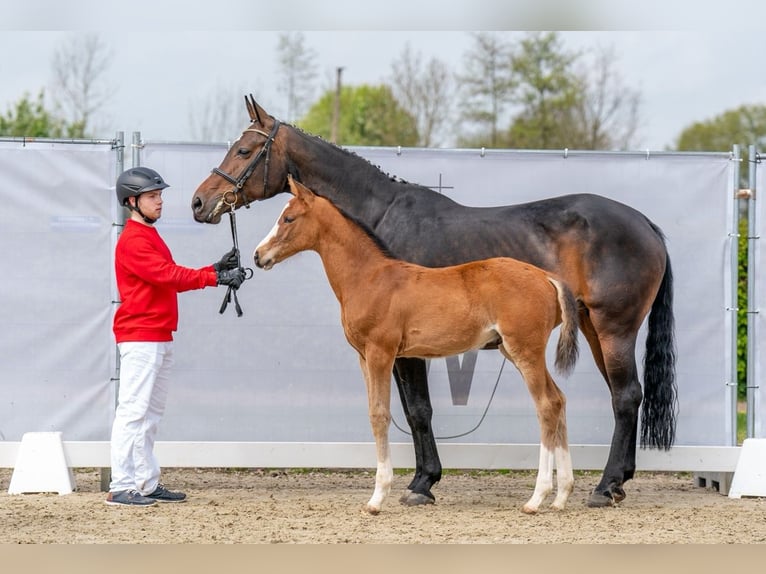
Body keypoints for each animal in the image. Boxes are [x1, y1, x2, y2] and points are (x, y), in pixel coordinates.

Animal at [255, 177, 580, 516]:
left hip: (525, 351)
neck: (369, 278)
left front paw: (377, 497)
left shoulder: (381, 353)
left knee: (546, 405)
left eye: (288, 218)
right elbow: (374, 412)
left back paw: (537, 498)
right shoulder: (364, 358)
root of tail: (546, 277)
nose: (258, 256)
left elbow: (380, 415)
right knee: (558, 400)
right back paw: (561, 496)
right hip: (516, 351)